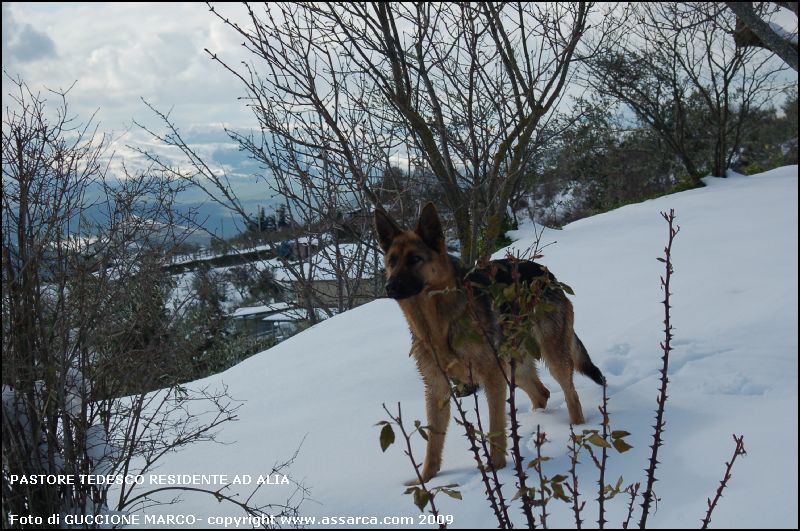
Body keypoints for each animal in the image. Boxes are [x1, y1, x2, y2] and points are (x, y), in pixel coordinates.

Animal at [376, 203, 608, 482]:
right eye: (392, 261)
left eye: (414, 259)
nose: (390, 286)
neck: (438, 323)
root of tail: (547, 274)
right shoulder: (437, 388)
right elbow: (434, 441)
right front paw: (426, 480)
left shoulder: (491, 378)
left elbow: (495, 426)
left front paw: (496, 469)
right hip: (513, 367)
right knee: (541, 393)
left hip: (551, 359)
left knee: (571, 396)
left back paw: (576, 431)